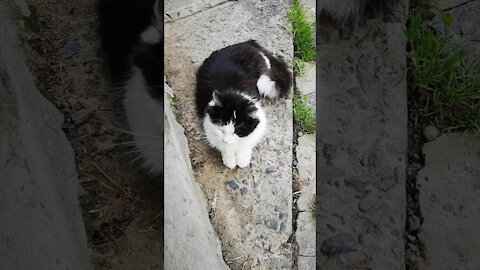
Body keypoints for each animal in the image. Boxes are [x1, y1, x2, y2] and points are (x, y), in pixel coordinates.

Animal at [194, 40, 290, 169]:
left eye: (237, 130)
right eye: (221, 127)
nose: (226, 140)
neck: (234, 92)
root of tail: (245, 42)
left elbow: (246, 144)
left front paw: (242, 159)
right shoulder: (209, 128)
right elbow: (224, 148)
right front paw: (230, 159)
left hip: (261, 64)